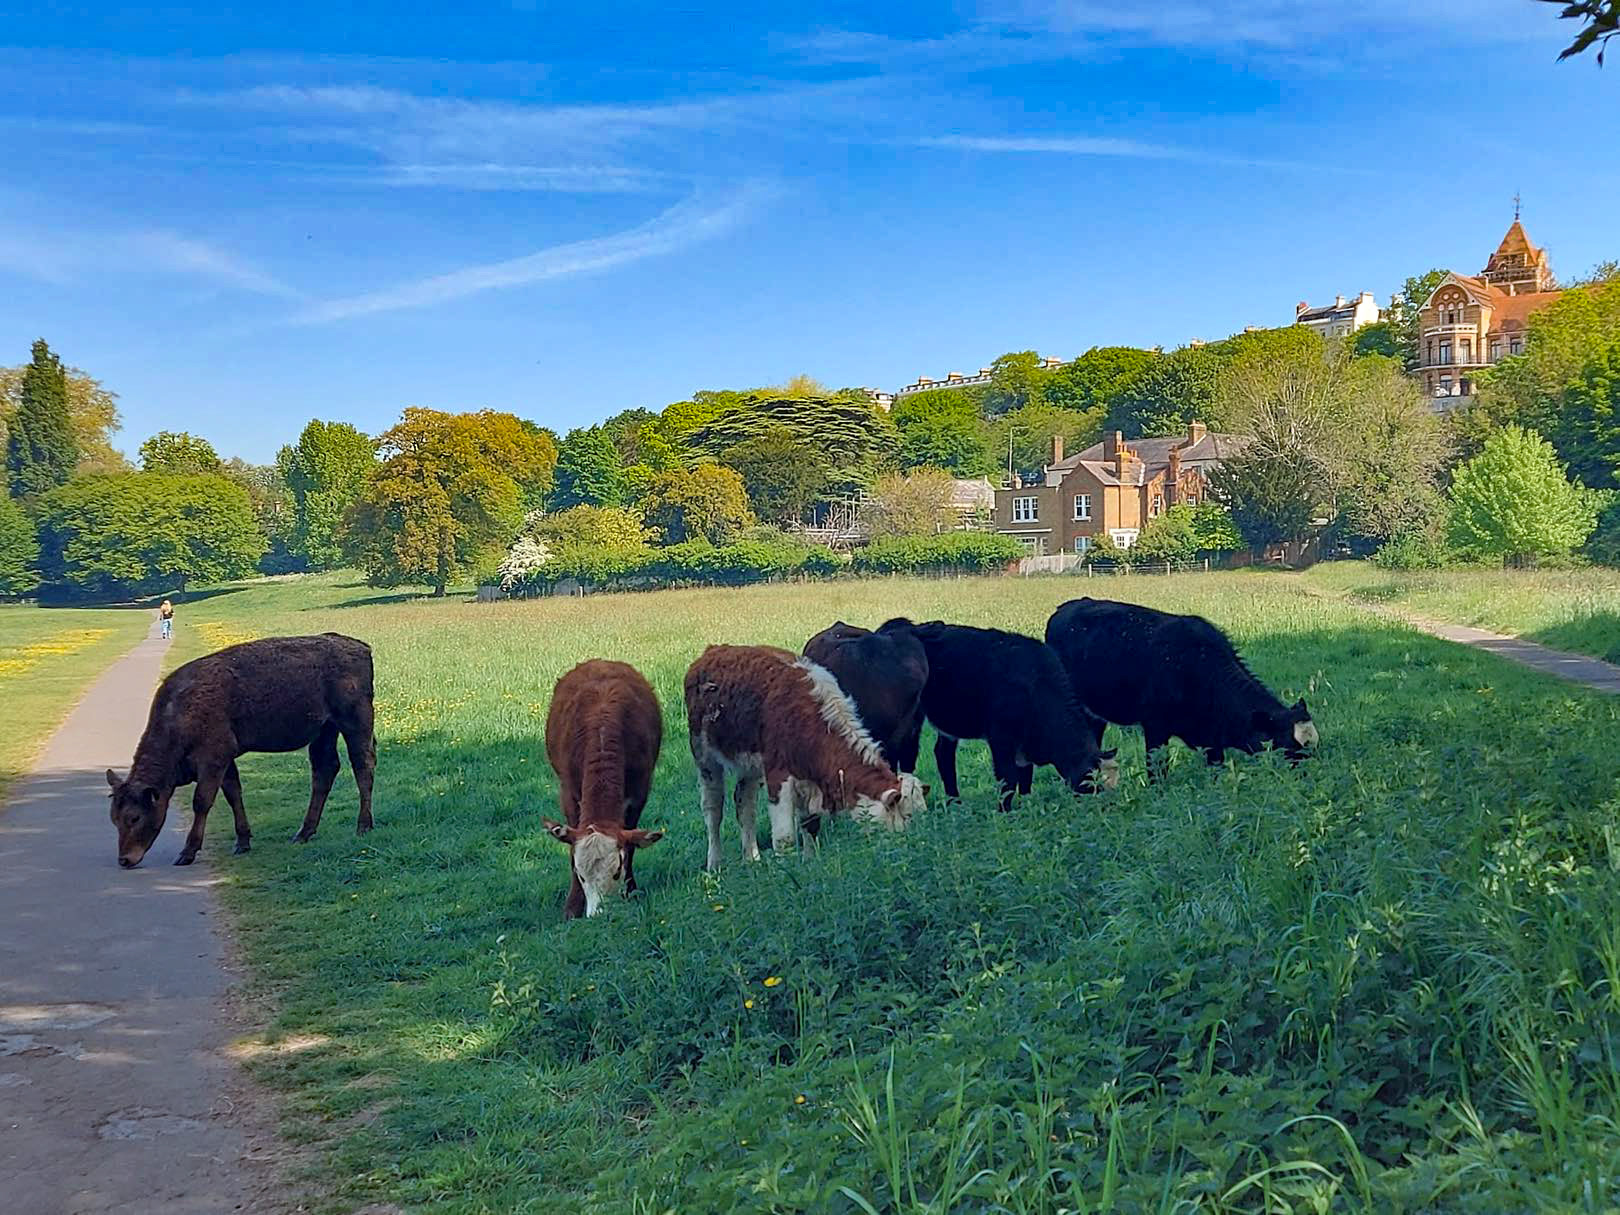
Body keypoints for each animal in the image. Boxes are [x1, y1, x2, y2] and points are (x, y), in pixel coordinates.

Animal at [106, 633, 375, 868]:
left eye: (134, 817)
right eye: (114, 819)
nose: (124, 860)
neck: (179, 715)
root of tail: (362, 647)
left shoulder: (213, 758)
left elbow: (202, 801)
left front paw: (188, 851)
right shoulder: (226, 758)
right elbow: (234, 793)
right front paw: (242, 841)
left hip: (355, 722)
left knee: (363, 766)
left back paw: (363, 826)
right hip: (324, 730)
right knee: (324, 771)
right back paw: (303, 833)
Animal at [542, 659, 665, 919]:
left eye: (616, 871)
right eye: (581, 875)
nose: (600, 914)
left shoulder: (639, 793)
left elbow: (631, 847)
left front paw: (631, 891)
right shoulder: (568, 793)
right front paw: (572, 906)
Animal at [684, 644, 927, 870]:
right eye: (907, 816)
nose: (912, 850)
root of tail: (713, 650)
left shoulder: (810, 777)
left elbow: (810, 825)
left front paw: (811, 862)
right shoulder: (778, 775)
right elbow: (785, 838)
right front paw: (788, 874)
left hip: (749, 766)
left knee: (745, 804)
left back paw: (751, 858)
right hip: (704, 757)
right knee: (713, 809)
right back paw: (714, 864)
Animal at [883, 619, 1116, 812]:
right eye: (1088, 776)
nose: (1101, 798)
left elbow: (1025, 775)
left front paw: (1026, 803)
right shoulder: (1001, 737)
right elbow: (1008, 777)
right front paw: (1005, 810)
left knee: (943, 756)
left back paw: (955, 802)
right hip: (909, 720)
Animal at [1044, 597, 1317, 777]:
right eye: (1289, 749)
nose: (1308, 779)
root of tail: (1066, 607)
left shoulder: (1212, 739)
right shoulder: (1155, 726)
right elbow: (1157, 768)